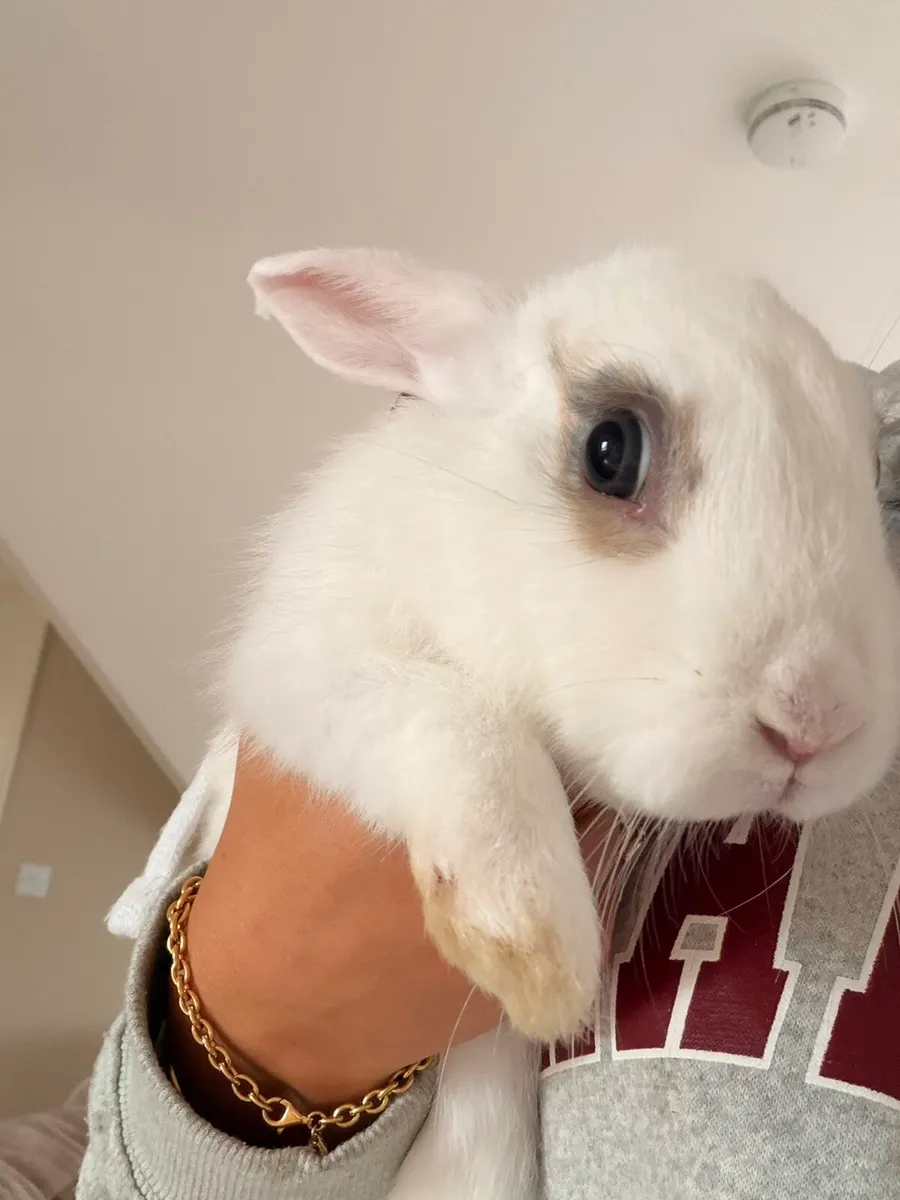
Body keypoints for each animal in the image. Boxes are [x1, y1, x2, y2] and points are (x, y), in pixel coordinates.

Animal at [221, 246, 900, 1200]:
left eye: (872, 477)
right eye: (611, 450)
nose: (817, 722)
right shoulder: (298, 670)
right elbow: (461, 721)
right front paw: (533, 942)